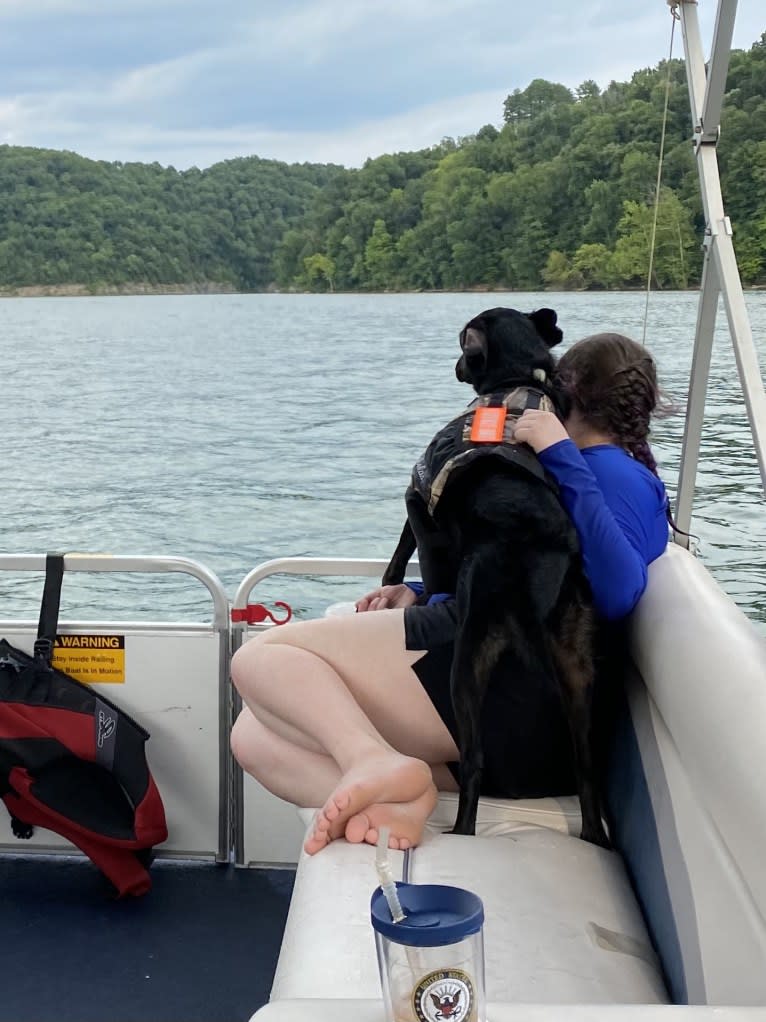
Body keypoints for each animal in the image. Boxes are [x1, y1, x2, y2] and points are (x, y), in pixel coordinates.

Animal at [384, 304, 612, 846]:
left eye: (462, 344)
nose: (455, 366)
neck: (515, 382)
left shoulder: (419, 496)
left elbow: (409, 553)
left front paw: (401, 588)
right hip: (577, 666)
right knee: (585, 767)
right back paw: (593, 835)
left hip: (467, 662)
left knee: (473, 763)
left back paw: (461, 833)